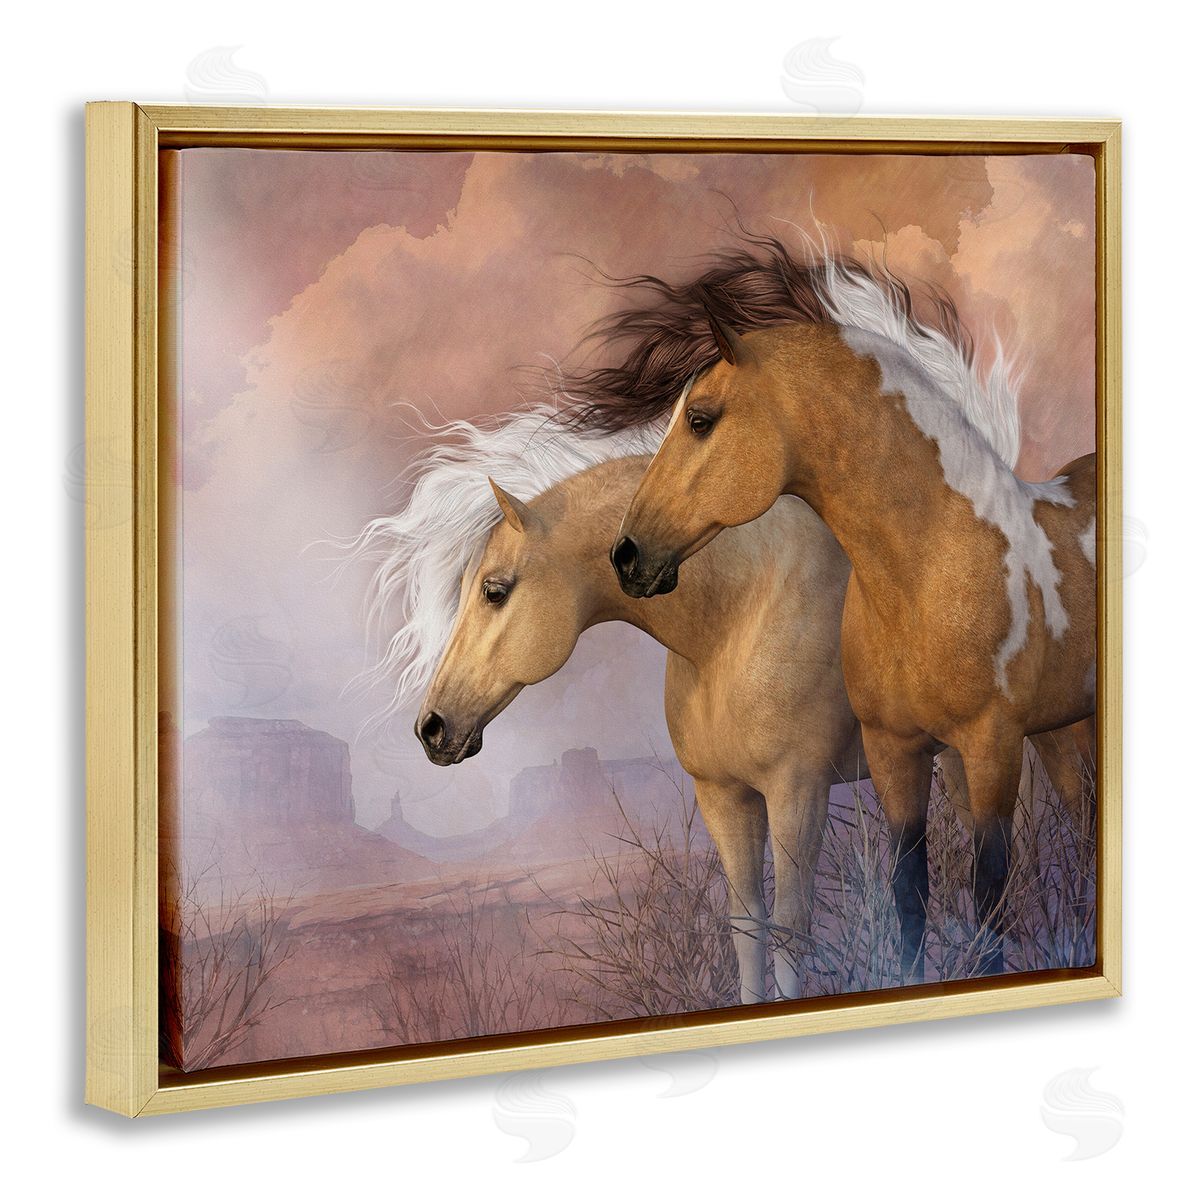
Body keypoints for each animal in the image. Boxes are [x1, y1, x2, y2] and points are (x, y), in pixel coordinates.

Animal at [560, 236, 1097, 980]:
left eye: (700, 419)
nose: (627, 555)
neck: (932, 571)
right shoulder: (897, 753)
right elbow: (909, 901)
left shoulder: (989, 748)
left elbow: (988, 905)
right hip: (1059, 731)